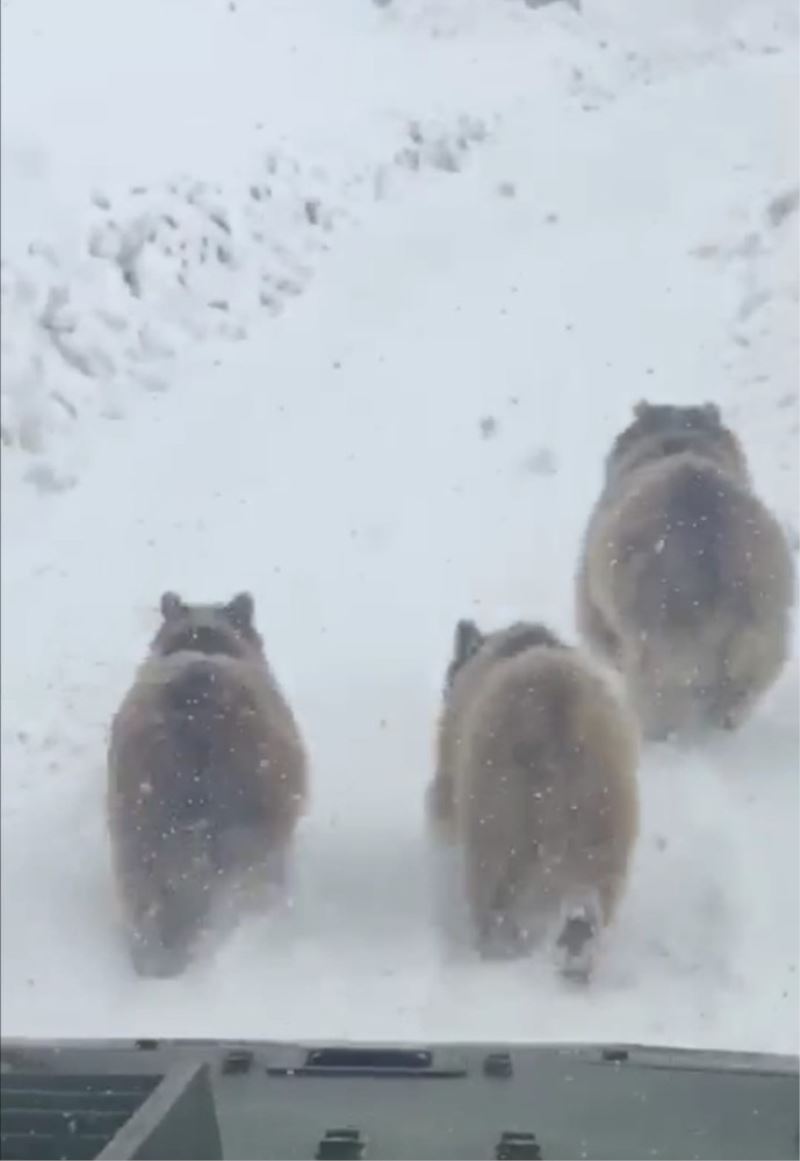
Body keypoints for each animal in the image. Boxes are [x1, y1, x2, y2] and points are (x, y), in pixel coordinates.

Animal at [427, 617, 640, 979]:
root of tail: (555, 710)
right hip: (603, 824)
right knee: (586, 905)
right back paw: (577, 959)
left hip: (494, 831)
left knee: (494, 908)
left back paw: (494, 952)